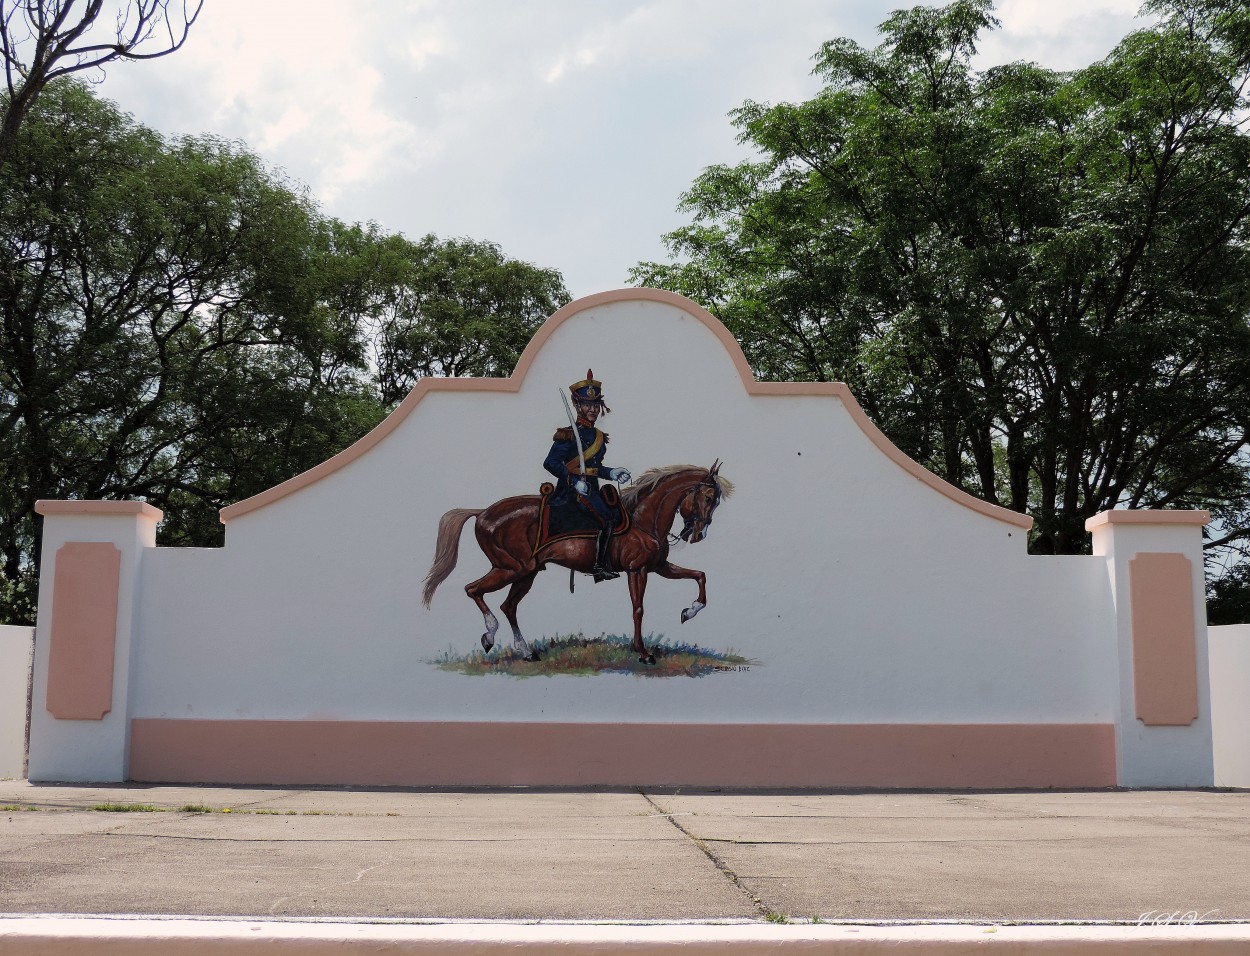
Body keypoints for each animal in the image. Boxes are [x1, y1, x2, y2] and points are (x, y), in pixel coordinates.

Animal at [422, 462, 730, 664]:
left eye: (715, 501)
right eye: (707, 497)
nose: (699, 535)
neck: (643, 517)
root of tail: (483, 512)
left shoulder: (658, 567)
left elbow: (700, 575)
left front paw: (689, 611)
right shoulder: (637, 570)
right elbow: (638, 609)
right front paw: (642, 653)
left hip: (527, 573)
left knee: (508, 606)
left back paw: (527, 652)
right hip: (511, 569)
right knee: (473, 590)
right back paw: (489, 635)